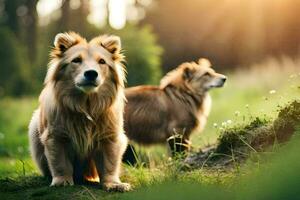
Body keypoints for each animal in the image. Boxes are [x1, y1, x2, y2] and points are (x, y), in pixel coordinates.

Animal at [28, 32, 131, 191]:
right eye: (76, 60)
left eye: (102, 61)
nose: (91, 73)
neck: (85, 104)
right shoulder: (56, 135)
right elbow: (60, 162)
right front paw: (62, 181)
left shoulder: (109, 135)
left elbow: (109, 163)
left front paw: (113, 183)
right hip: (34, 127)